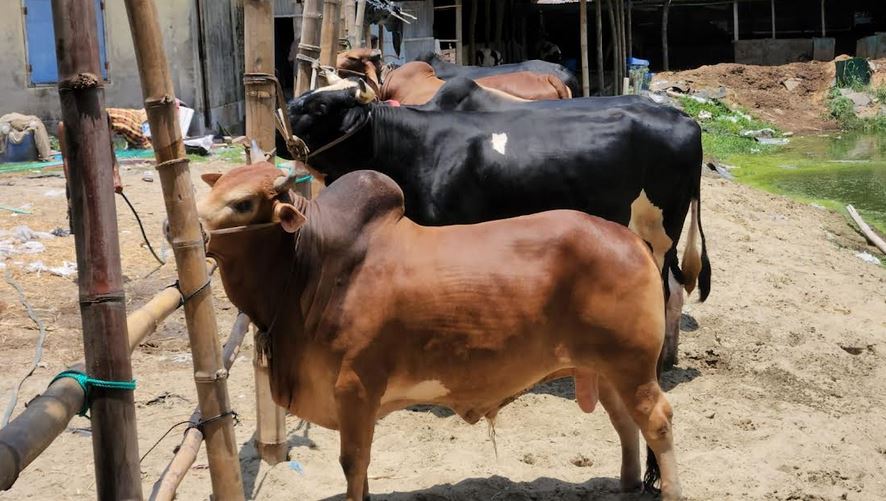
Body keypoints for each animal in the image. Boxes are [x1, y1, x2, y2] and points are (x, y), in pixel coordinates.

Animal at [196, 162, 682, 500]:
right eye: (214, 190)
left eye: (243, 203)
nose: (188, 227)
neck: (312, 265)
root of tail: (632, 240)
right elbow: (359, 465)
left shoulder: (355, 387)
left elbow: (353, 460)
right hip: (605, 369)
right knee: (624, 422)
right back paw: (626, 484)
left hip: (632, 367)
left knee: (656, 422)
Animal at [276, 78, 711, 369]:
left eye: (318, 109)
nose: (278, 131)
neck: (419, 148)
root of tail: (685, 120)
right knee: (674, 289)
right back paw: (667, 357)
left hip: (658, 232)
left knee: (666, 290)